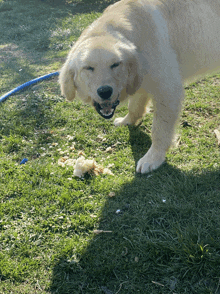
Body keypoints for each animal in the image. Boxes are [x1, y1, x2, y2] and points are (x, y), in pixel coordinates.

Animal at [59, 0, 220, 173]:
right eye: (88, 68)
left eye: (115, 64)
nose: (105, 91)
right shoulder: (141, 80)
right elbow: (134, 107)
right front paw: (127, 121)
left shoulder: (167, 89)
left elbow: (159, 129)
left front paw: (153, 158)